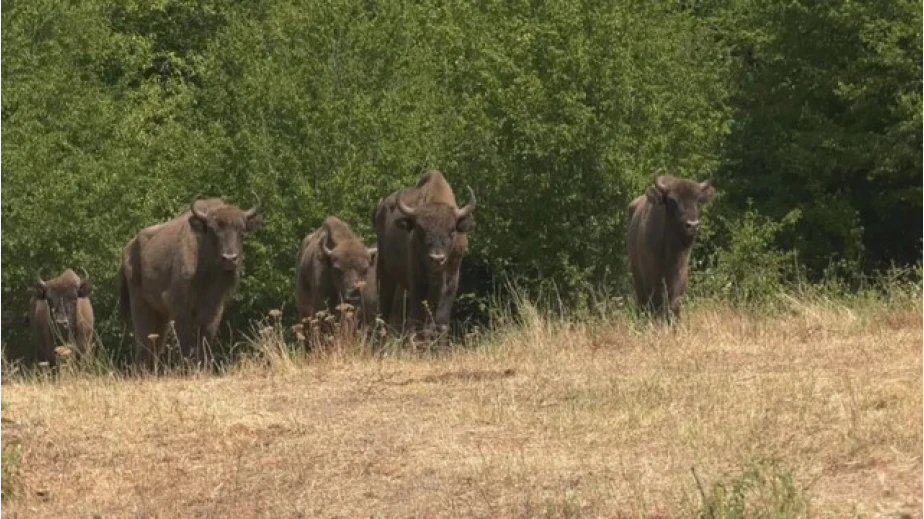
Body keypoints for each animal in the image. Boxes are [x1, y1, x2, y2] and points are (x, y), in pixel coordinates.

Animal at [118, 196, 262, 370]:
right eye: (213, 231)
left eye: (242, 231)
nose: (229, 259)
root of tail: (128, 249)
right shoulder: (181, 311)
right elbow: (186, 345)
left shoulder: (214, 311)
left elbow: (204, 344)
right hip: (141, 306)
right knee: (143, 345)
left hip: (161, 315)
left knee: (155, 346)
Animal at [373, 169, 476, 338]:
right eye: (420, 230)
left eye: (452, 230)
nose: (437, 259)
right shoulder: (418, 281)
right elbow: (418, 320)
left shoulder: (451, 281)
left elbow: (441, 322)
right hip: (385, 273)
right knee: (384, 311)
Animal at [627, 173, 715, 322]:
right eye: (672, 200)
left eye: (698, 200)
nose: (692, 225)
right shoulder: (651, 276)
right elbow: (656, 302)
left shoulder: (679, 274)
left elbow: (674, 302)